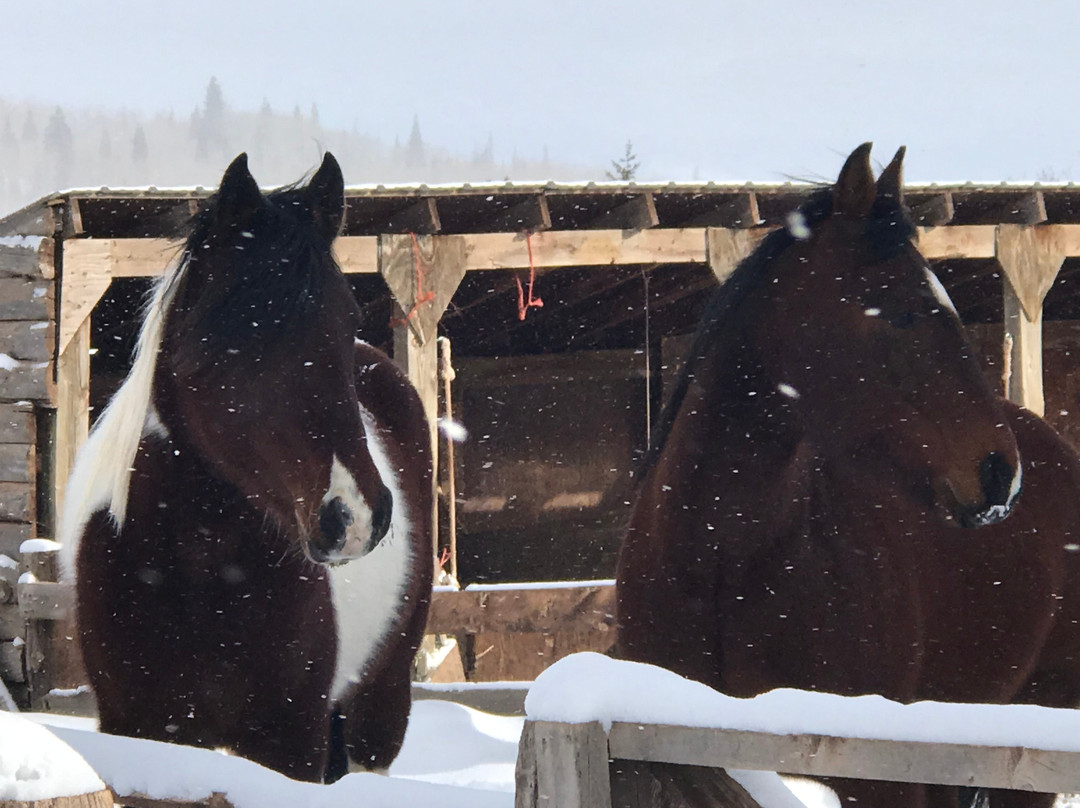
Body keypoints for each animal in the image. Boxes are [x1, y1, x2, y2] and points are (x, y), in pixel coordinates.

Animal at [61, 153, 432, 782]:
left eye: (347, 316)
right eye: (243, 330)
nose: (354, 515)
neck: (200, 571)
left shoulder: (290, 740)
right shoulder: (139, 727)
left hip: (380, 708)